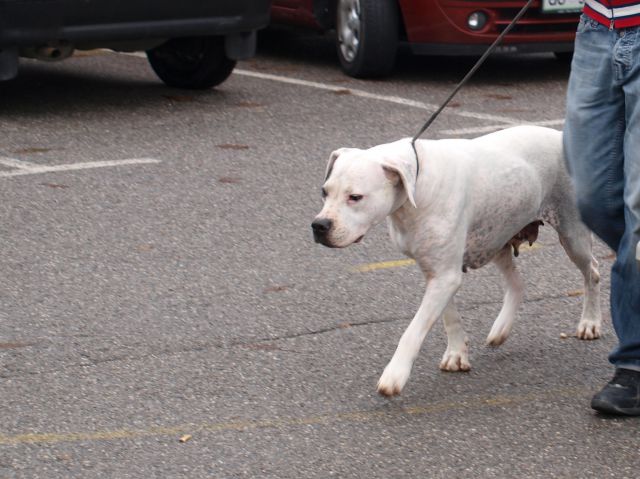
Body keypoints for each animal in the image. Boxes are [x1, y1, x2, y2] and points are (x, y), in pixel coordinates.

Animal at [312, 126, 604, 398]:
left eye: (355, 197)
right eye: (324, 192)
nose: (319, 225)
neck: (417, 186)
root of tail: (559, 134)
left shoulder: (445, 276)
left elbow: (413, 331)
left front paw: (395, 375)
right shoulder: (439, 273)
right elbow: (449, 316)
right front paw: (456, 354)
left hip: (572, 235)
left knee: (592, 272)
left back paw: (590, 323)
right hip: (496, 236)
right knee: (517, 284)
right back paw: (501, 328)